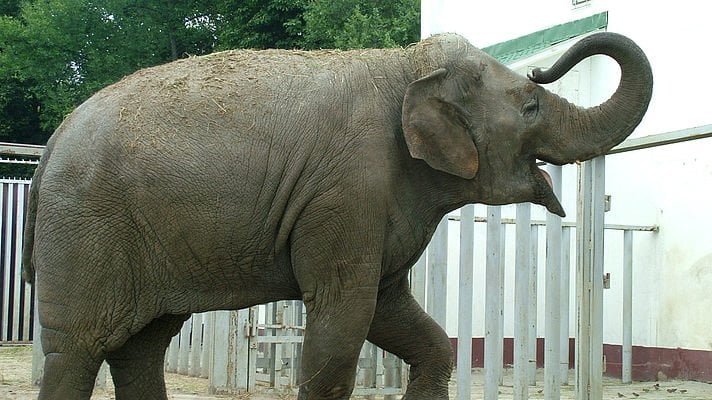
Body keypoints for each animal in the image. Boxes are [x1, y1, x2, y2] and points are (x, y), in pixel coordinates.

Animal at [22, 32, 652, 400]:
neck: (405, 66)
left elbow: (403, 321)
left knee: (142, 347)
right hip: (84, 230)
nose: (543, 70)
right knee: (77, 348)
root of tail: (51, 144)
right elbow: (342, 329)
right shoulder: (347, 194)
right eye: (531, 106)